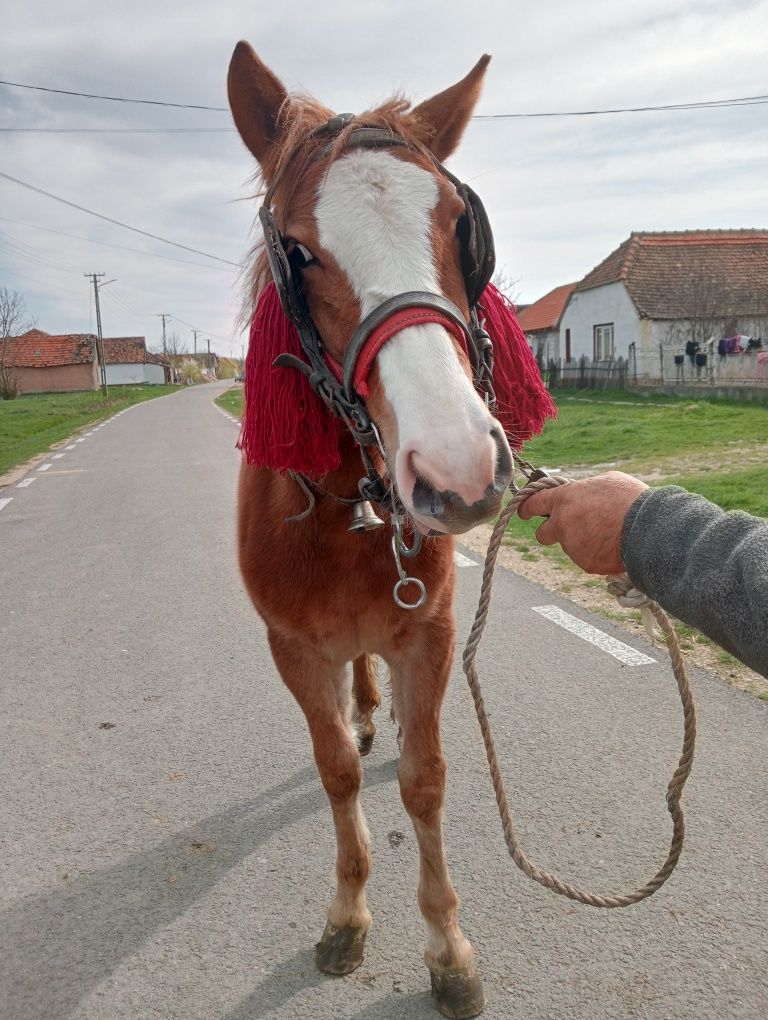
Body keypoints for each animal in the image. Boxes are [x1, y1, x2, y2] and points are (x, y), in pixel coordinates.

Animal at [229, 41, 516, 1020]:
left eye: (459, 225)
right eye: (300, 250)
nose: (457, 466)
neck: (347, 513)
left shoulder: (428, 634)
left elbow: (426, 781)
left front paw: (449, 947)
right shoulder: (289, 647)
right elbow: (336, 777)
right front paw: (349, 912)